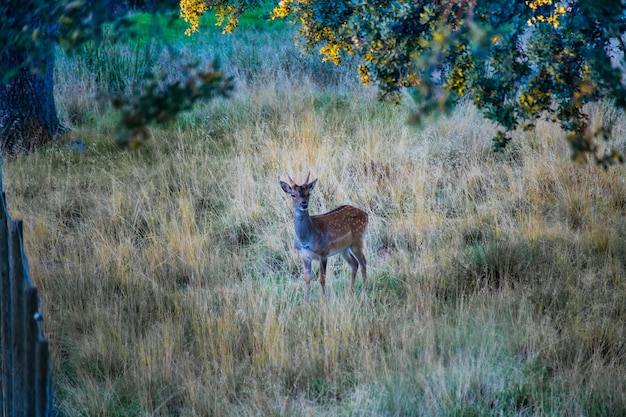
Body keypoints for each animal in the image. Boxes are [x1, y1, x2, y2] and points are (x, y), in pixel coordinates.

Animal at [278, 173, 366, 302]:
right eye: (293, 195)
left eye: (308, 193)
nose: (304, 204)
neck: (306, 239)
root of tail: (366, 214)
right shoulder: (304, 255)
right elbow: (307, 279)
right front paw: (305, 302)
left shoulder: (323, 253)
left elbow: (322, 279)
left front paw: (324, 301)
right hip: (344, 249)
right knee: (354, 264)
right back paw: (349, 294)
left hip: (358, 240)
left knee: (363, 262)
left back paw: (364, 293)